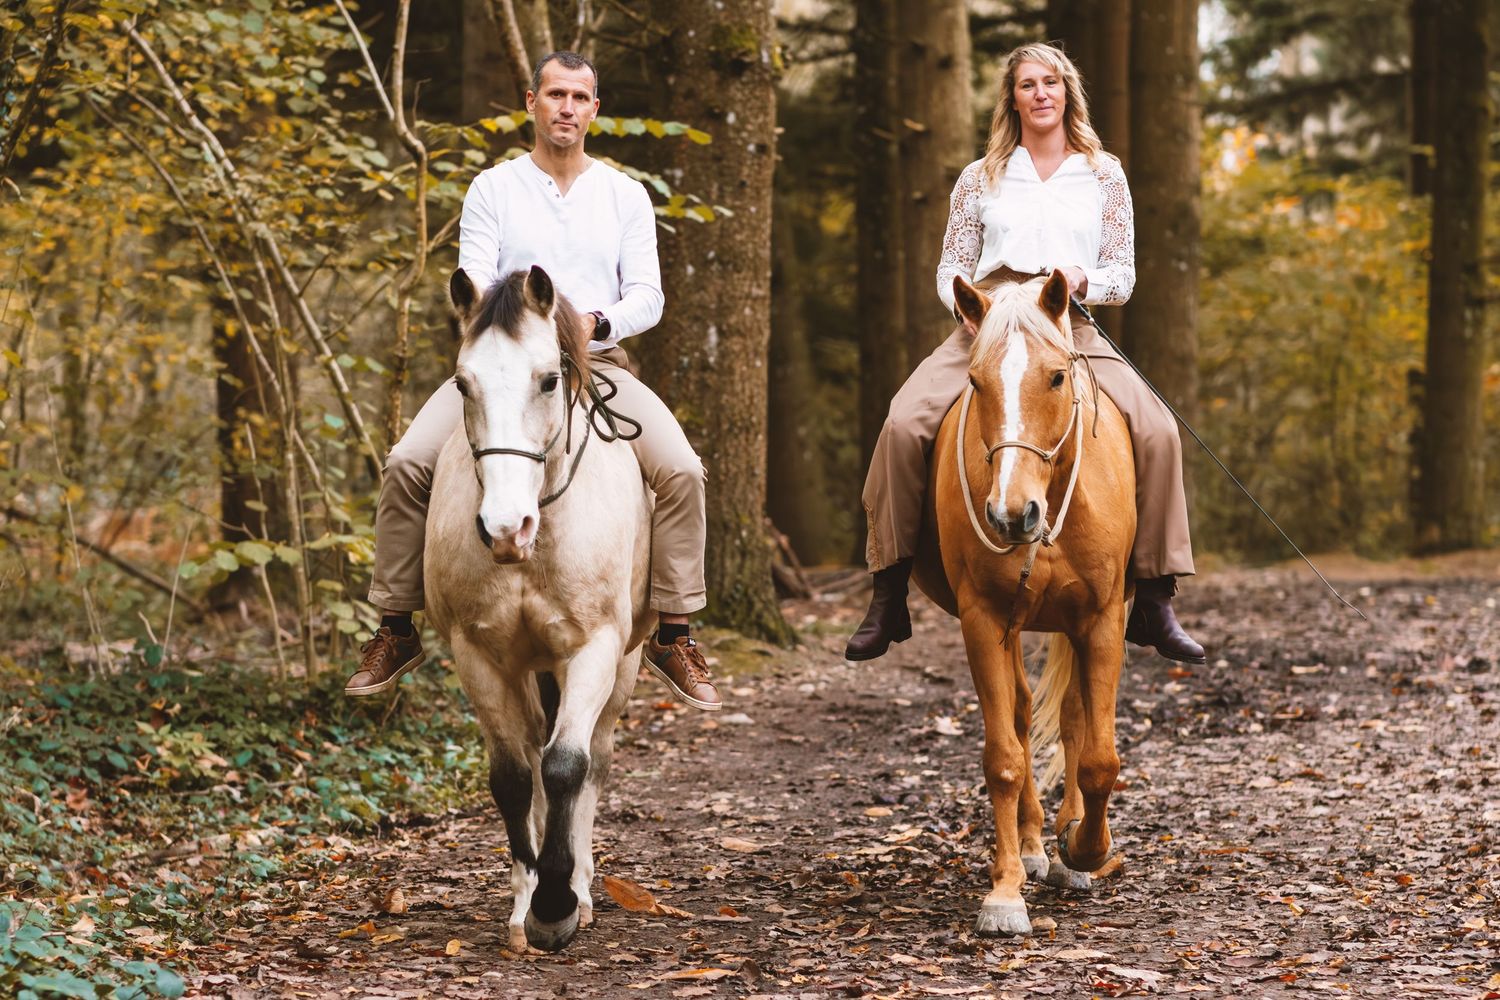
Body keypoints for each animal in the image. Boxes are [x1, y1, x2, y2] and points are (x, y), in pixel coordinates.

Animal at [424, 265, 654, 952]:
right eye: (462, 383)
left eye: (549, 379)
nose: (505, 528)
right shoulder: (477, 653)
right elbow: (512, 776)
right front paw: (529, 900)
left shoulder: (594, 649)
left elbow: (567, 765)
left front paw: (557, 904)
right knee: (531, 748)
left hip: (623, 666)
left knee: (593, 757)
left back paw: (580, 884)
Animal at [913, 269, 1136, 937]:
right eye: (975, 382)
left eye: (1057, 377)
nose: (1013, 515)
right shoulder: (983, 619)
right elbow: (1004, 756)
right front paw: (1005, 891)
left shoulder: (1103, 619)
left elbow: (1099, 757)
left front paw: (1085, 850)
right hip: (1015, 625)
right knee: (1020, 712)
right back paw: (1037, 846)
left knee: (1073, 721)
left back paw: (1065, 844)